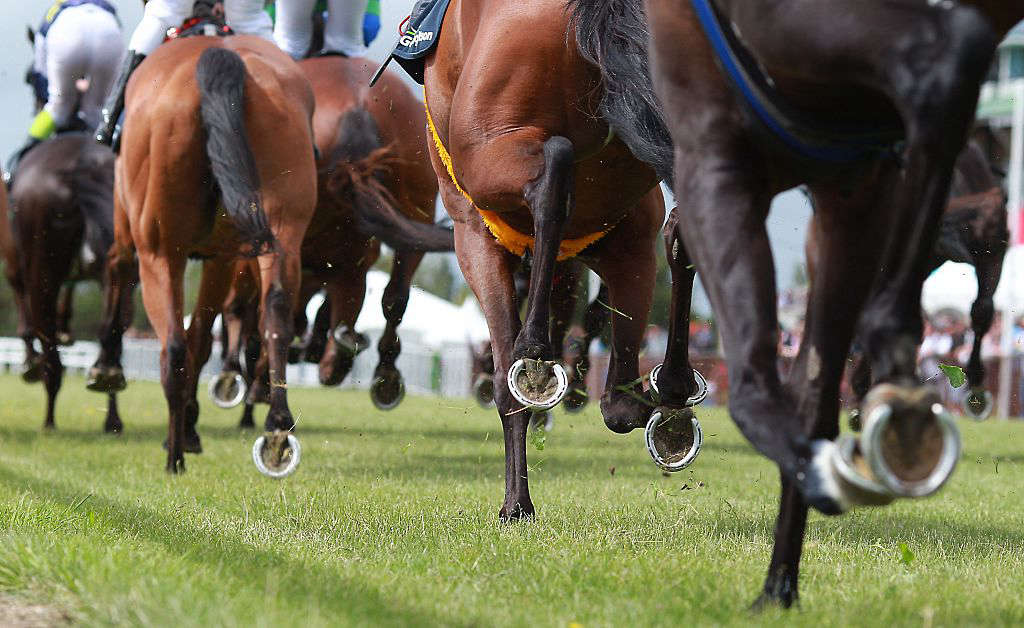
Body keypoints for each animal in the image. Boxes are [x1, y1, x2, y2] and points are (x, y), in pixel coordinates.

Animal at [6, 133, 123, 430]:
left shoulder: (17, 267)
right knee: (113, 331)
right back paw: (110, 399)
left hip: (41, 273)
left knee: (51, 352)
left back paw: (49, 420)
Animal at [95, 34, 319, 473]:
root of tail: (220, 57)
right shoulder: (222, 258)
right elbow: (203, 339)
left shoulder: (136, 243)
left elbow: (120, 281)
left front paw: (107, 370)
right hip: (282, 230)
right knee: (276, 311)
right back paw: (277, 431)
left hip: (160, 253)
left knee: (173, 347)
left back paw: (175, 455)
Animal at [205, 56, 450, 422]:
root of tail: (357, 106)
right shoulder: (346, 261)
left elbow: (252, 311)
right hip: (416, 206)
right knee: (395, 294)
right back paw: (378, 374)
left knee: (263, 310)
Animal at [419, 0, 708, 522]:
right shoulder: (628, 242)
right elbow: (617, 401)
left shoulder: (474, 237)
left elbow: (503, 381)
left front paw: (516, 502)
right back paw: (670, 385)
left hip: (492, 153)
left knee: (553, 169)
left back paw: (535, 350)